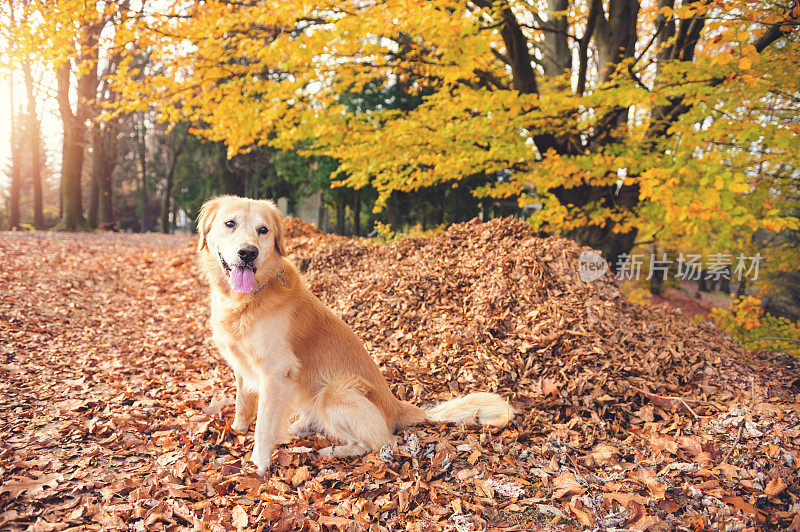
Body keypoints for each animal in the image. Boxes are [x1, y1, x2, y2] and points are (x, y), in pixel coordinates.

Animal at [197, 195, 516, 474]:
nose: (248, 253)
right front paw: (237, 430)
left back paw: (331, 450)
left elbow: (264, 424)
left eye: (263, 230)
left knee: (383, 443)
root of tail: (397, 407)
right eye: (230, 224)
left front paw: (258, 464)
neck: (247, 299)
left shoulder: (277, 373)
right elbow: (243, 402)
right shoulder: (241, 364)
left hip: (336, 393)